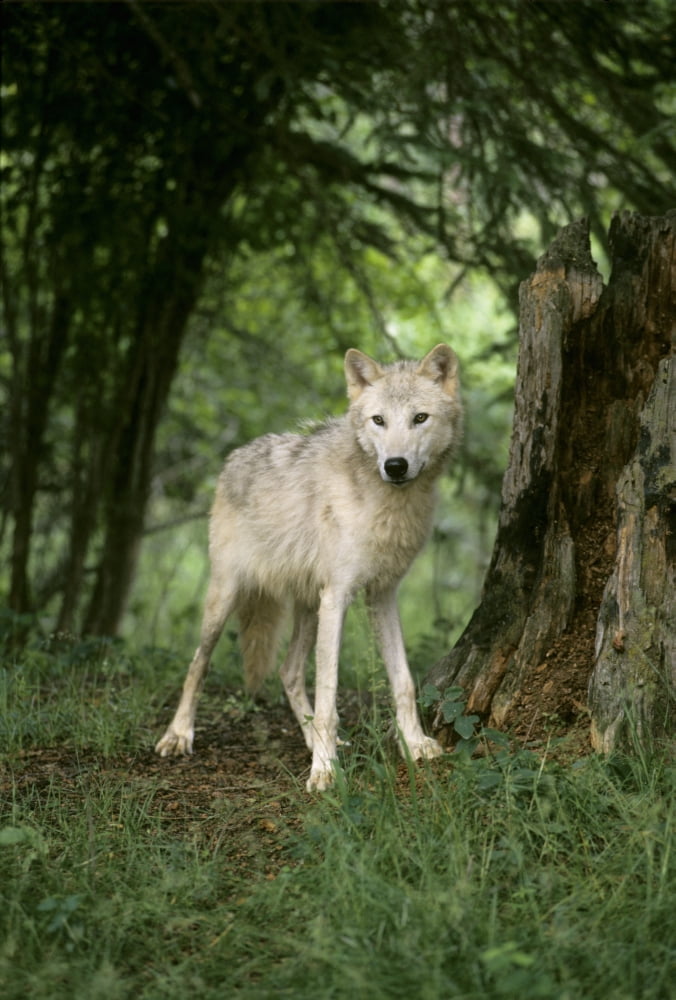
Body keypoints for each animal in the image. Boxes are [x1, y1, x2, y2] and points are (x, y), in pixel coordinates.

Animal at [156, 343, 463, 791]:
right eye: (379, 420)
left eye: (419, 418)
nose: (395, 465)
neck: (386, 504)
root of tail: (234, 456)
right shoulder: (338, 597)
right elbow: (329, 695)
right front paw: (325, 771)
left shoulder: (381, 595)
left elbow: (403, 681)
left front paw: (416, 744)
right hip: (227, 597)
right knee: (198, 663)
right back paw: (178, 735)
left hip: (307, 607)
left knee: (287, 671)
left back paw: (313, 738)